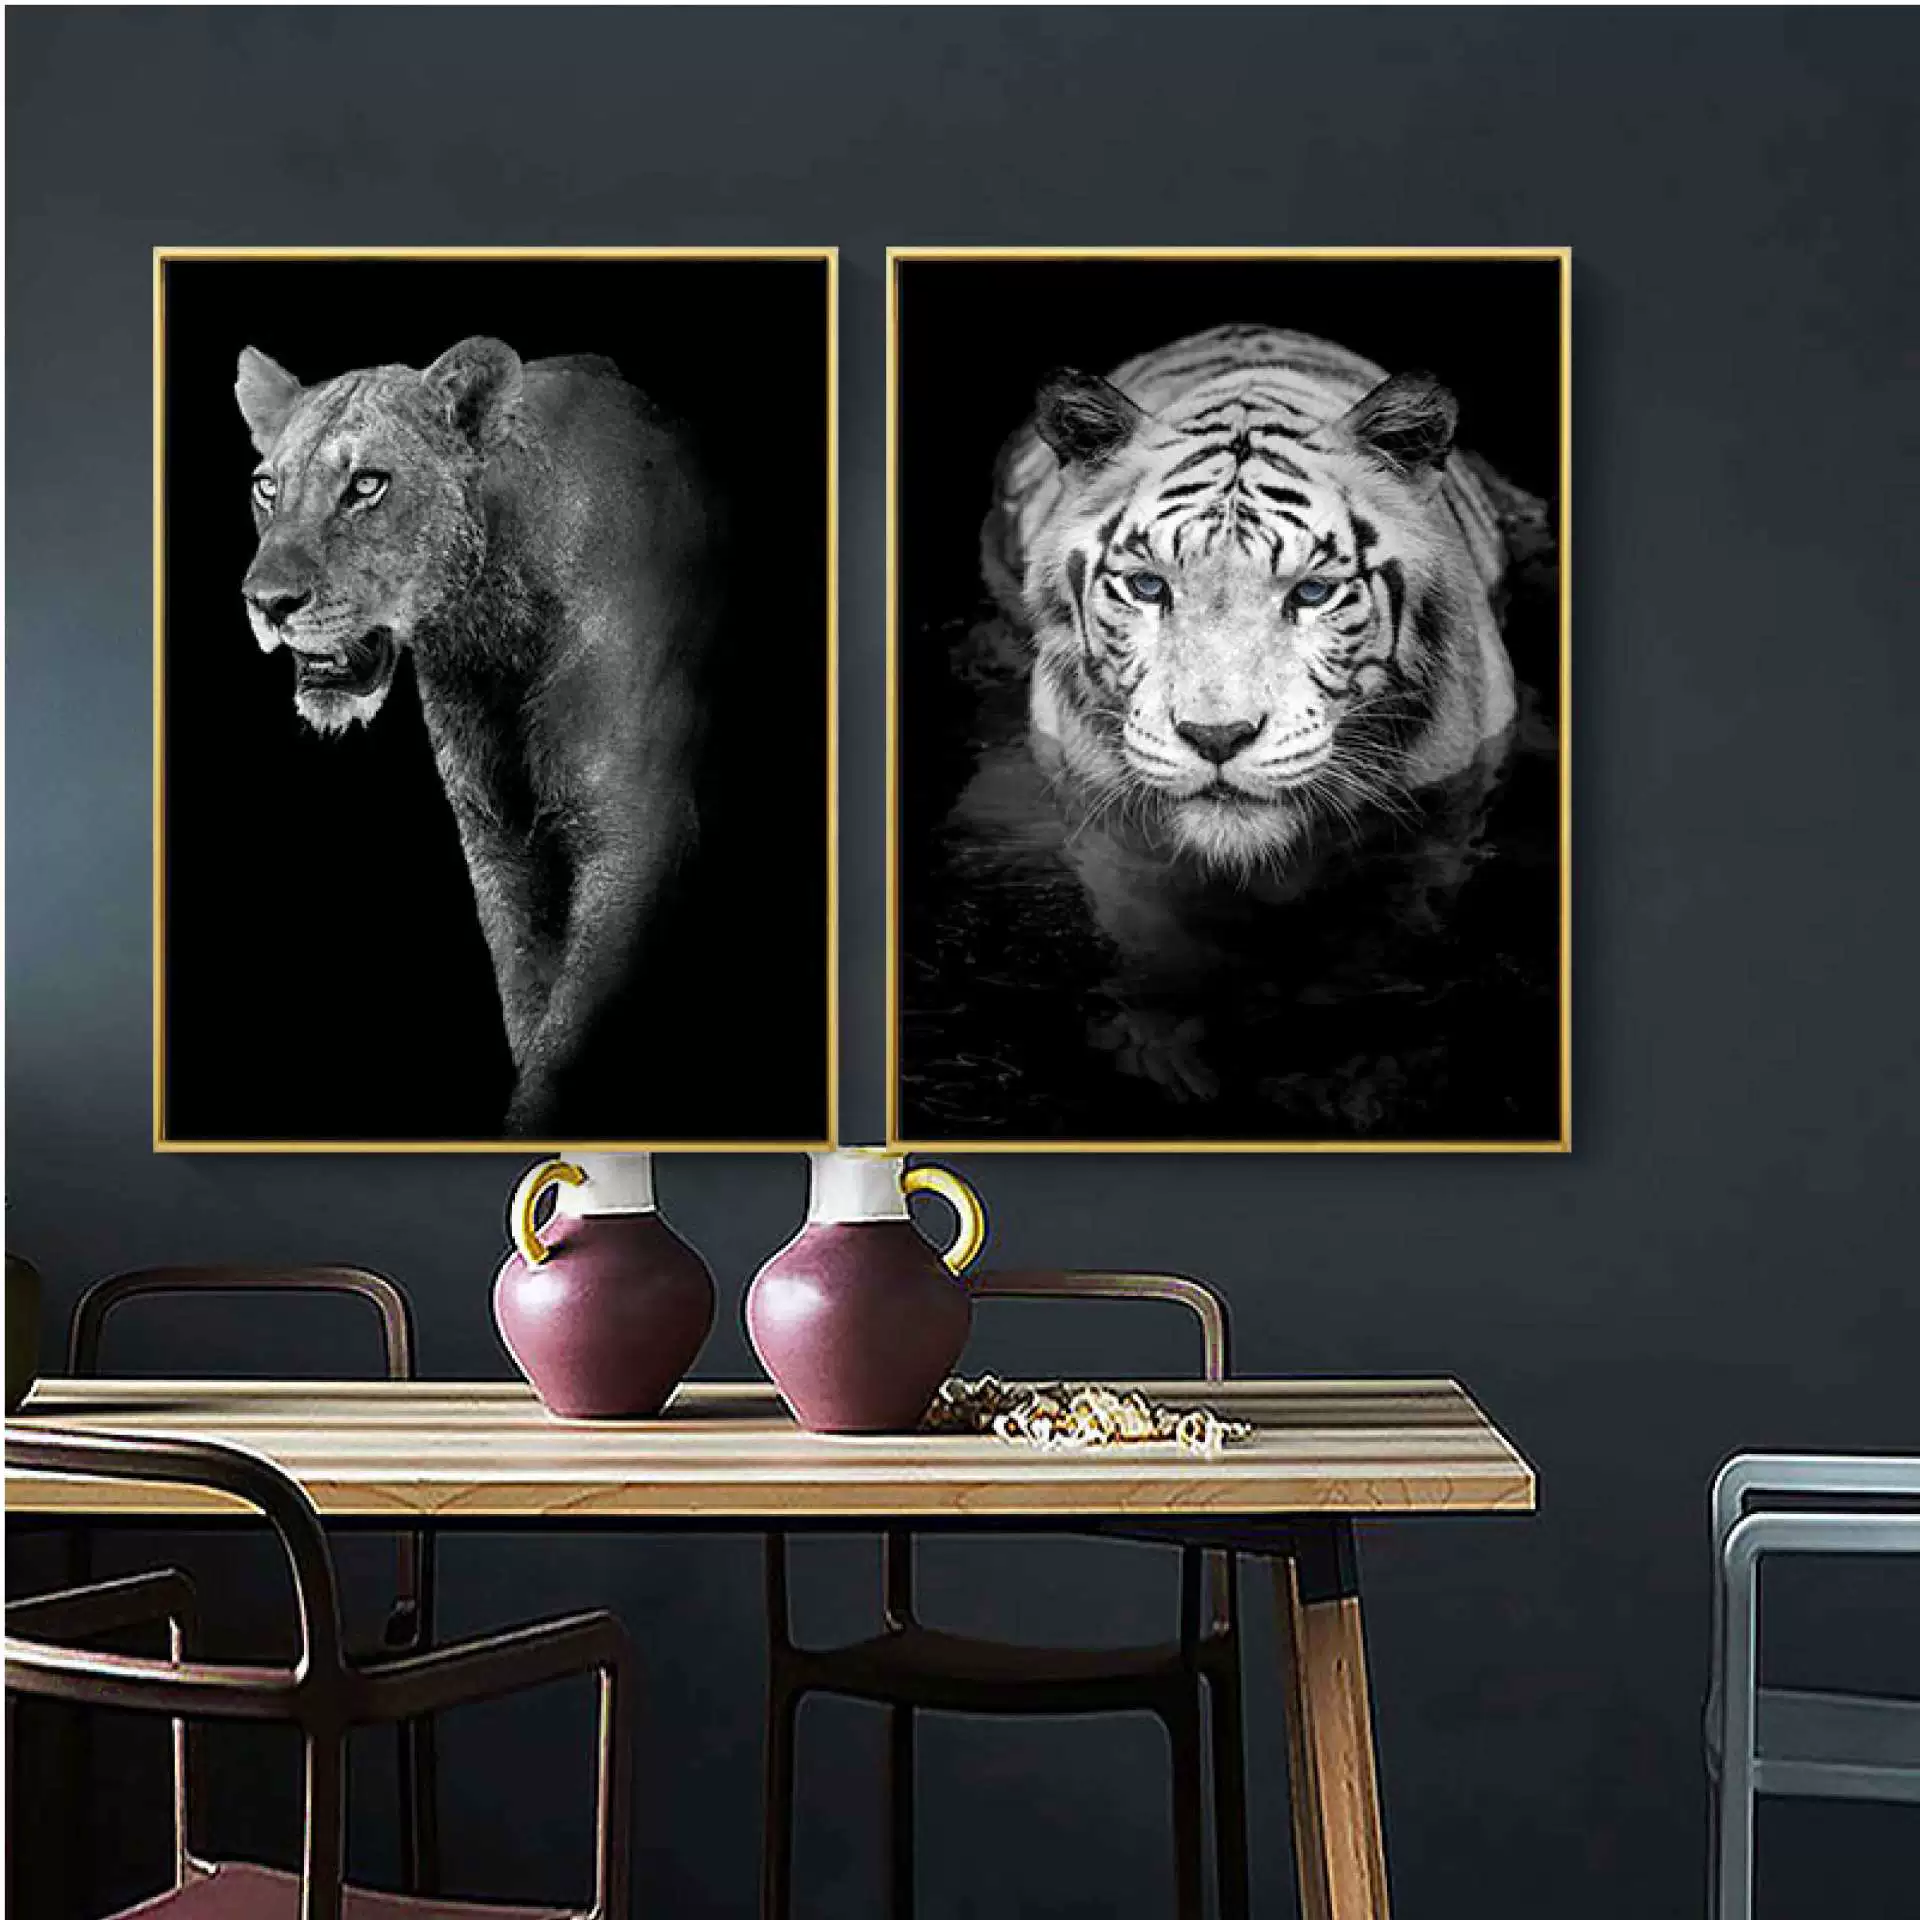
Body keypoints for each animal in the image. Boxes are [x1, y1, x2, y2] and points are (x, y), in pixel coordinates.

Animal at [236, 336, 719, 1134]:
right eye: (268, 489)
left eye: (366, 485)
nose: (267, 602)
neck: (491, 639)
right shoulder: (497, 841)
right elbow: (530, 1004)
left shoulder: (637, 838)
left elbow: (566, 1043)